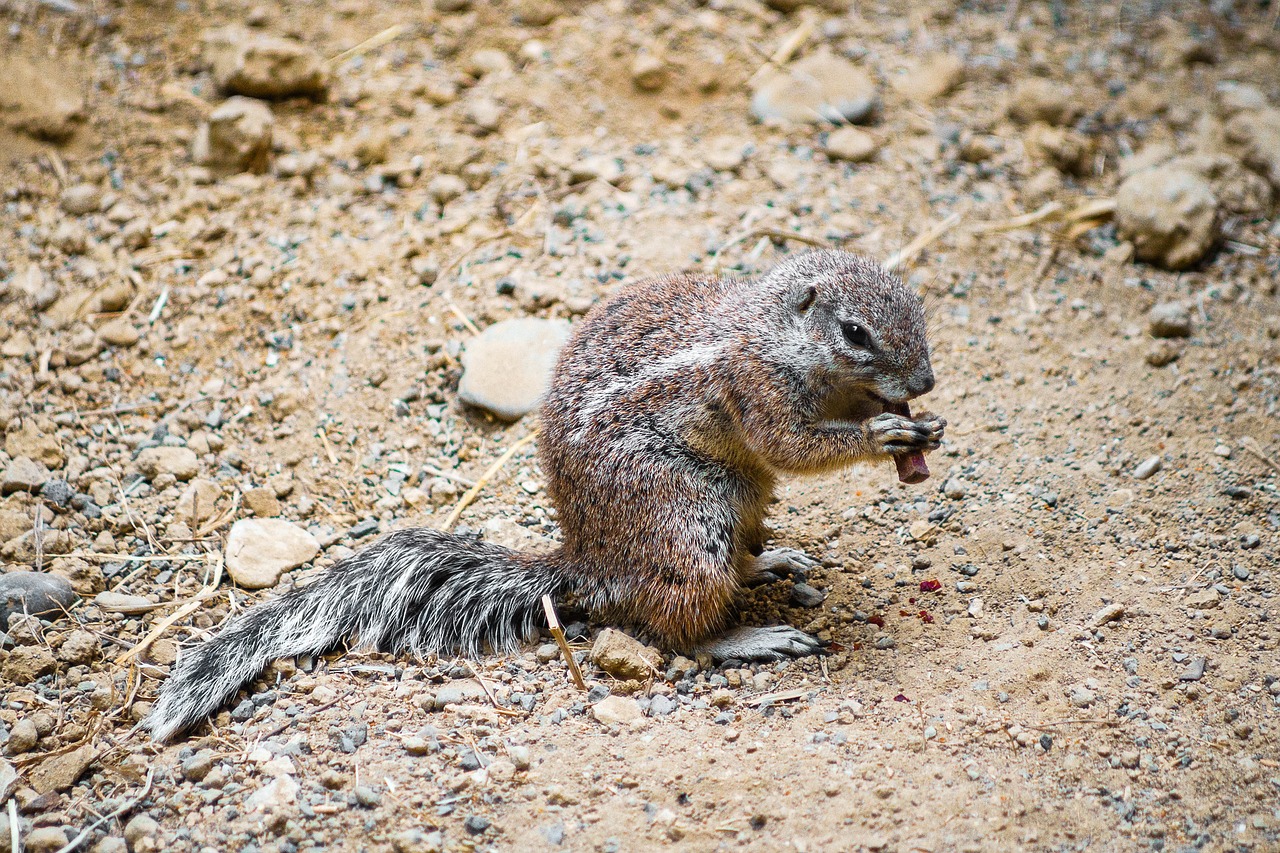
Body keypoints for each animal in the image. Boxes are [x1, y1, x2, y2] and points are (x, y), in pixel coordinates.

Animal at [152, 247, 952, 737]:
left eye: (917, 307)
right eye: (854, 331)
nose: (924, 381)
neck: (774, 333)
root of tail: (590, 560)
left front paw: (917, 423)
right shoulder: (755, 388)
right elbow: (796, 445)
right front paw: (884, 433)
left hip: (743, 498)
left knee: (731, 566)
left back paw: (773, 562)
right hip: (687, 524)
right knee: (680, 630)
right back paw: (750, 635)